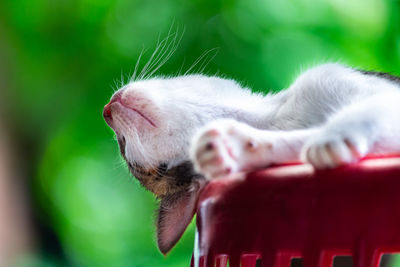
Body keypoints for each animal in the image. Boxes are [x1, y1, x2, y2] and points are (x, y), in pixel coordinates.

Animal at [102, 62, 400, 253]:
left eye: (122, 146)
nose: (106, 112)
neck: (277, 118)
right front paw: (240, 147)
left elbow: (364, 109)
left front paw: (334, 133)